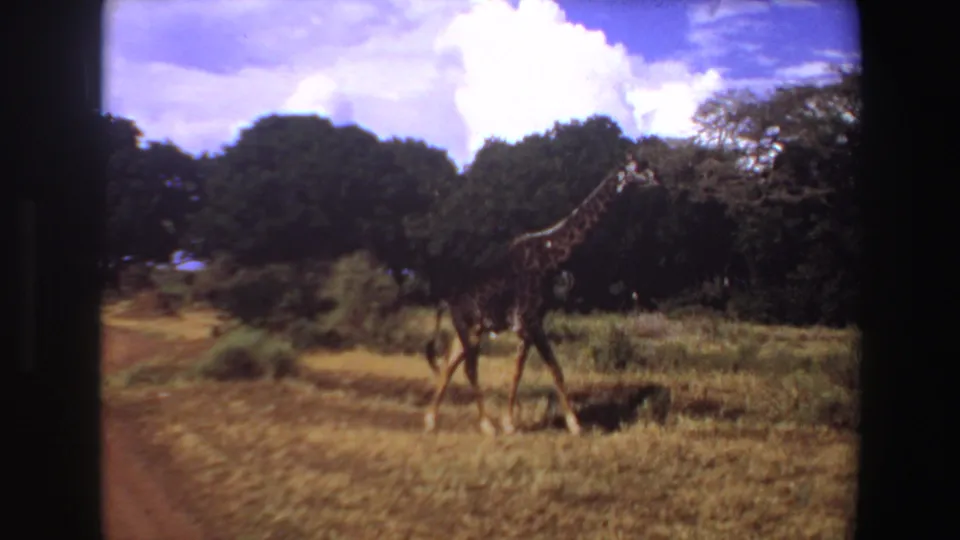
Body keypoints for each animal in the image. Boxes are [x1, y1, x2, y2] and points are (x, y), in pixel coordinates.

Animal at [423, 154, 660, 436]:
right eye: (637, 168)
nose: (657, 178)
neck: (550, 256)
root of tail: (446, 300)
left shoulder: (535, 322)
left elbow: (553, 369)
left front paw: (572, 423)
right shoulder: (527, 322)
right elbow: (524, 371)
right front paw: (512, 424)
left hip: (472, 328)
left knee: (451, 363)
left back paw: (432, 420)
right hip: (466, 325)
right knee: (468, 368)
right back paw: (486, 425)